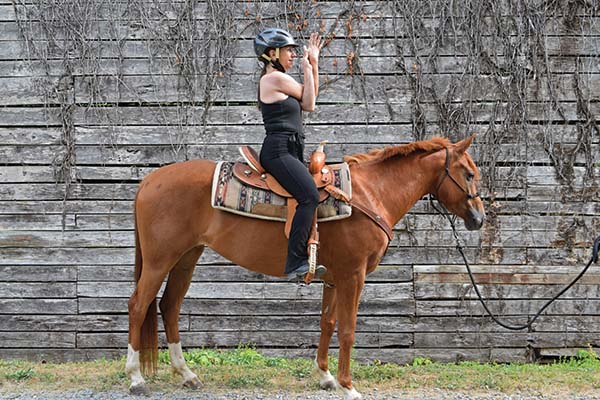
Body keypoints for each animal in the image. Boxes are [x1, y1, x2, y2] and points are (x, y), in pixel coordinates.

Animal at [125, 135, 482, 400]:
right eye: (468, 173)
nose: (479, 218)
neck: (369, 195)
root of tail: (150, 180)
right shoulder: (353, 275)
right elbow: (348, 329)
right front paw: (348, 386)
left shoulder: (335, 278)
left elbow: (327, 322)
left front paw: (325, 376)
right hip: (159, 259)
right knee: (139, 305)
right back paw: (136, 378)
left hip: (187, 257)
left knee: (170, 305)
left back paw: (186, 374)